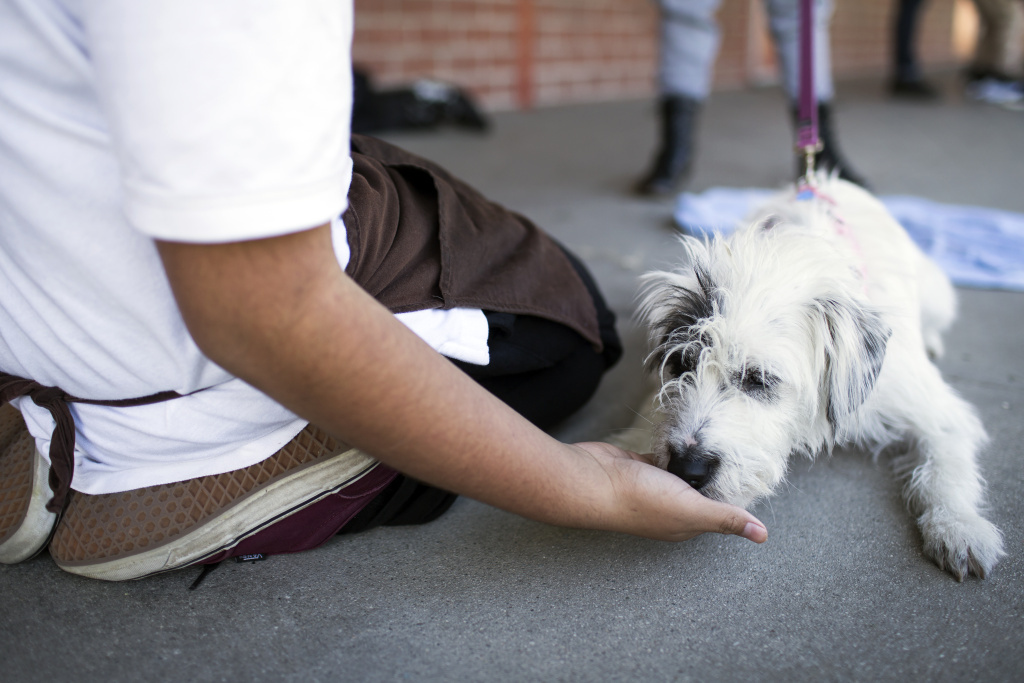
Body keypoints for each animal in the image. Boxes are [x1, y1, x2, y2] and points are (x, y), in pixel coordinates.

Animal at [626, 178, 1003, 581]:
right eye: (682, 364)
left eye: (758, 379)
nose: (687, 468)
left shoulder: (927, 403)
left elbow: (946, 463)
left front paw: (959, 525)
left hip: (937, 295)